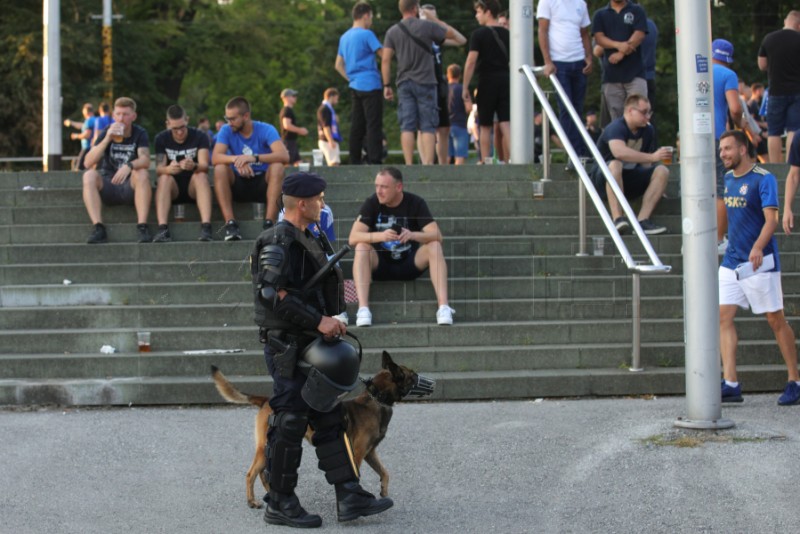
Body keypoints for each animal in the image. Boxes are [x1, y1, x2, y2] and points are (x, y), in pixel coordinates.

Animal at [211, 352, 432, 510]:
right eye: (412, 376)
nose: (430, 382)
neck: (376, 398)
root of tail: (266, 400)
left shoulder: (370, 453)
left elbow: (385, 472)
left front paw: (384, 491)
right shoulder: (358, 453)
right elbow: (356, 475)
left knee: (265, 474)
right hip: (264, 447)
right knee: (251, 474)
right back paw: (252, 501)